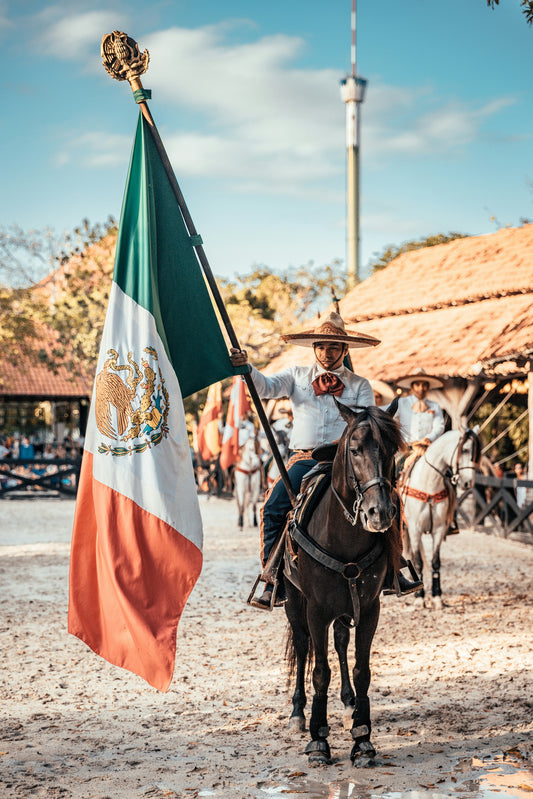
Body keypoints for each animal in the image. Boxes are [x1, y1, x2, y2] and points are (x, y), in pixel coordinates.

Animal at [282, 400, 400, 768]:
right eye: (354, 449)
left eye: (392, 449)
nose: (380, 513)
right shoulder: (316, 610)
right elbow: (320, 671)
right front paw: (318, 740)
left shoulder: (370, 608)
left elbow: (362, 669)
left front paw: (362, 737)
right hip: (294, 602)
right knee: (303, 646)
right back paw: (298, 713)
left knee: (340, 642)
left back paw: (348, 704)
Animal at [402, 428, 480, 608]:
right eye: (465, 450)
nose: (468, 483)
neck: (428, 485)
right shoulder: (415, 530)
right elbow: (418, 562)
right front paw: (420, 598)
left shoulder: (438, 530)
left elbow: (435, 562)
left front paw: (437, 597)